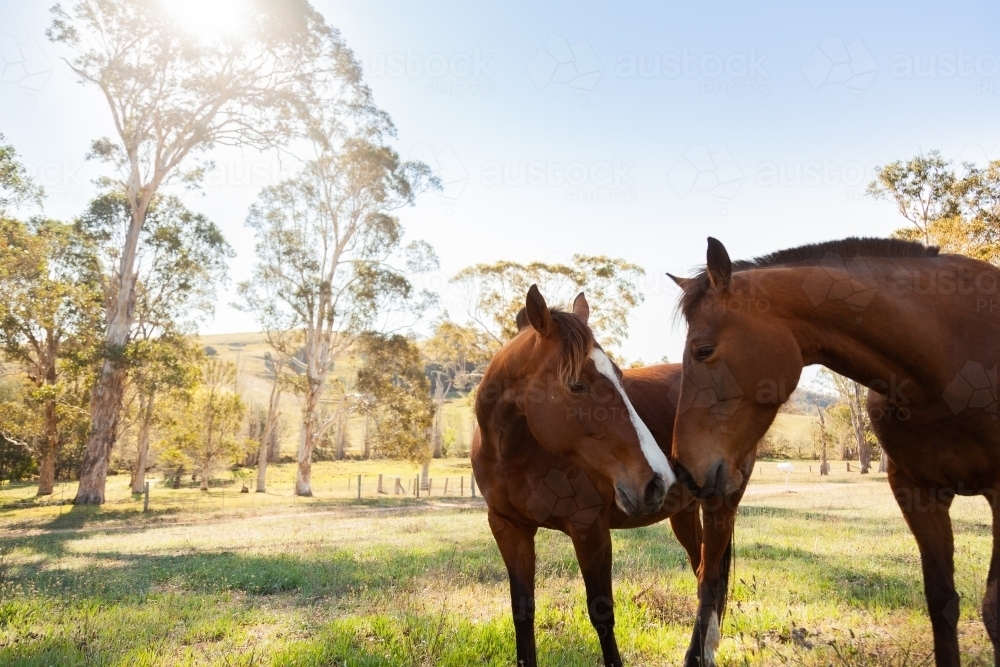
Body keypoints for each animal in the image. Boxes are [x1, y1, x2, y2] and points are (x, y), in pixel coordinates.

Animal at [473, 284, 748, 666]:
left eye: (619, 377)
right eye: (577, 385)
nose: (659, 479)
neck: (512, 454)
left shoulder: (590, 529)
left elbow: (601, 613)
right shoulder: (509, 528)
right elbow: (522, 611)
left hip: (721, 505)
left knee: (710, 581)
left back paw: (701, 653)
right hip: (684, 513)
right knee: (702, 572)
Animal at [669, 236, 1000, 666]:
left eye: (704, 350)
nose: (683, 468)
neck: (947, 354)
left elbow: (993, 610)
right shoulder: (917, 493)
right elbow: (942, 602)